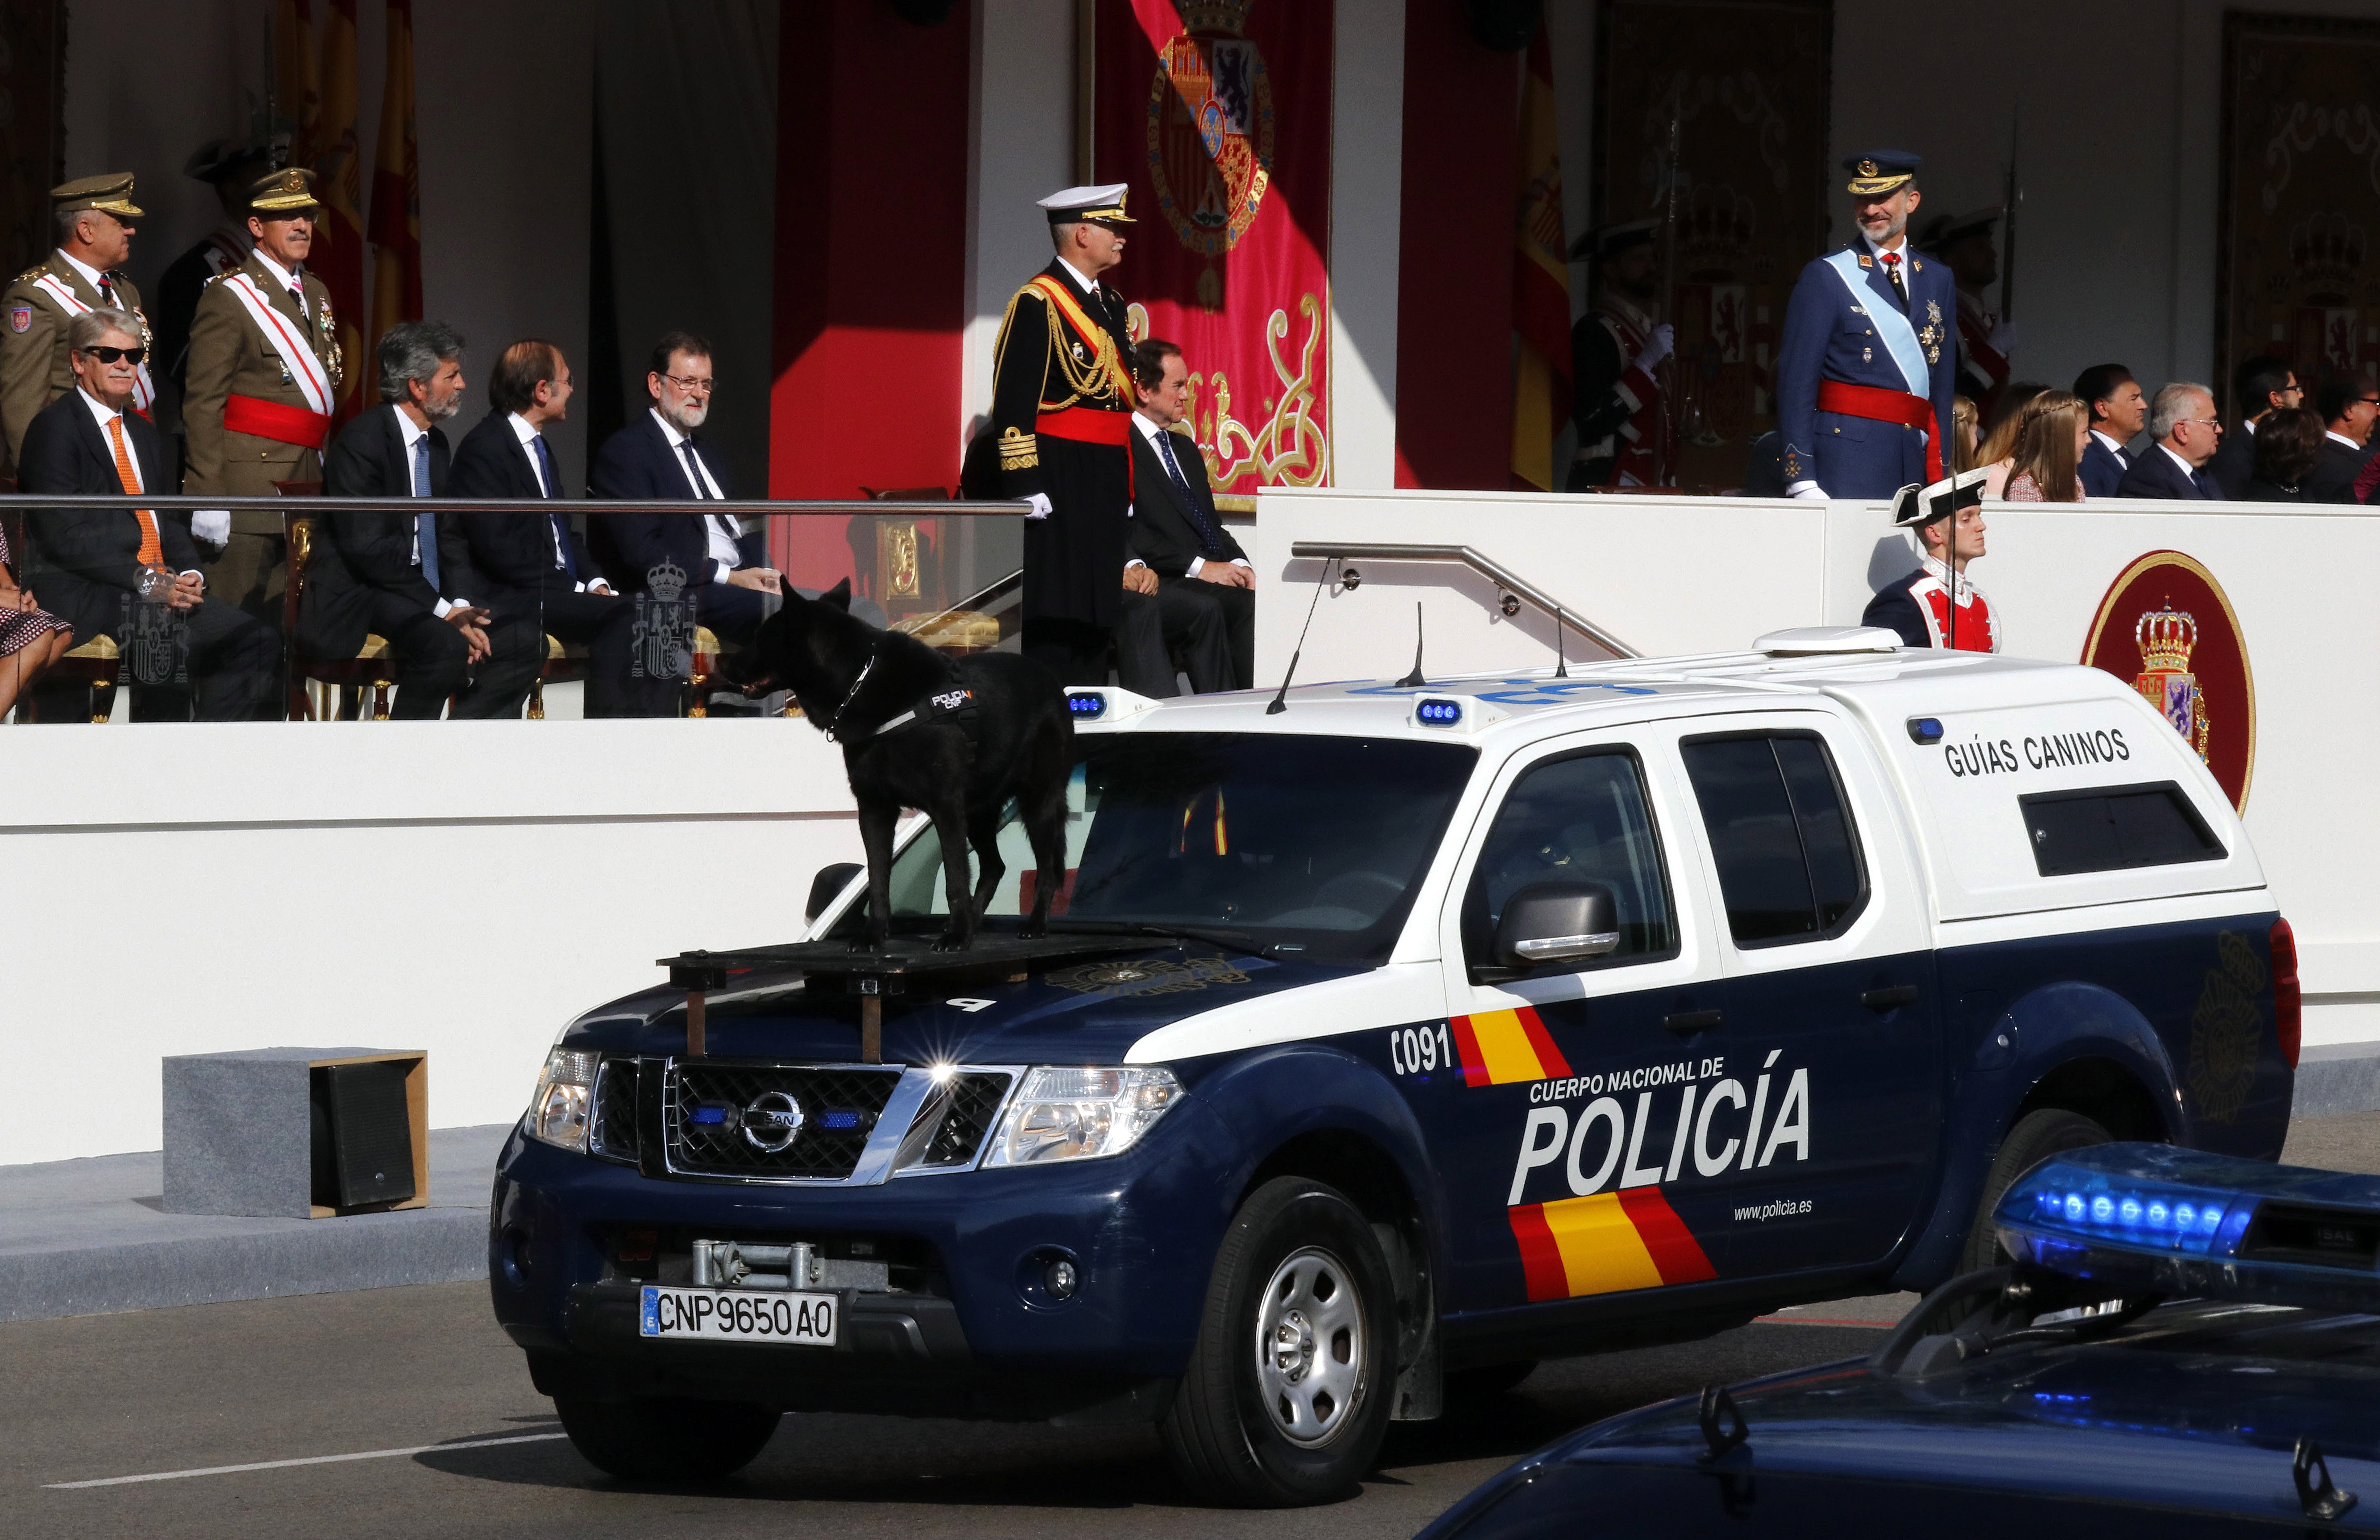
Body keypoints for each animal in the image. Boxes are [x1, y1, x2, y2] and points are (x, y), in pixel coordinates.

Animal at [714, 580, 1071, 952]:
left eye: (760, 637)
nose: (720, 664)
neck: (859, 681)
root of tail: (1051, 681)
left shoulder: (946, 806)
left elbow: (955, 878)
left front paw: (955, 936)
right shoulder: (875, 809)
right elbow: (877, 878)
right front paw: (874, 935)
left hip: (1037, 802)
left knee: (1046, 869)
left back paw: (1032, 924)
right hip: (979, 812)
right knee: (994, 867)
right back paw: (973, 923)